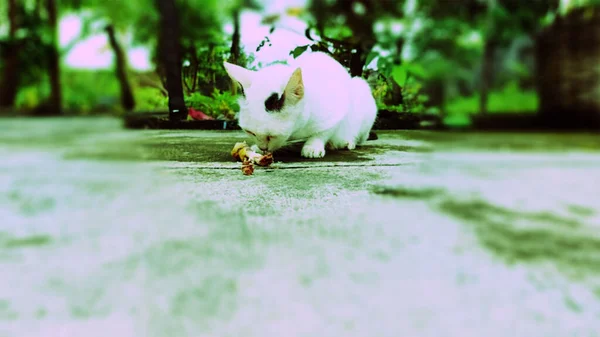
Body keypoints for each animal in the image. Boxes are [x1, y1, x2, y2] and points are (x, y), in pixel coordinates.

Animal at [223, 50, 378, 158]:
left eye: (271, 136)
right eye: (250, 132)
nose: (263, 148)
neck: (297, 130)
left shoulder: (336, 111)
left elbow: (323, 132)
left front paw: (312, 146)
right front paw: (255, 147)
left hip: (361, 91)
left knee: (360, 136)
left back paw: (347, 142)